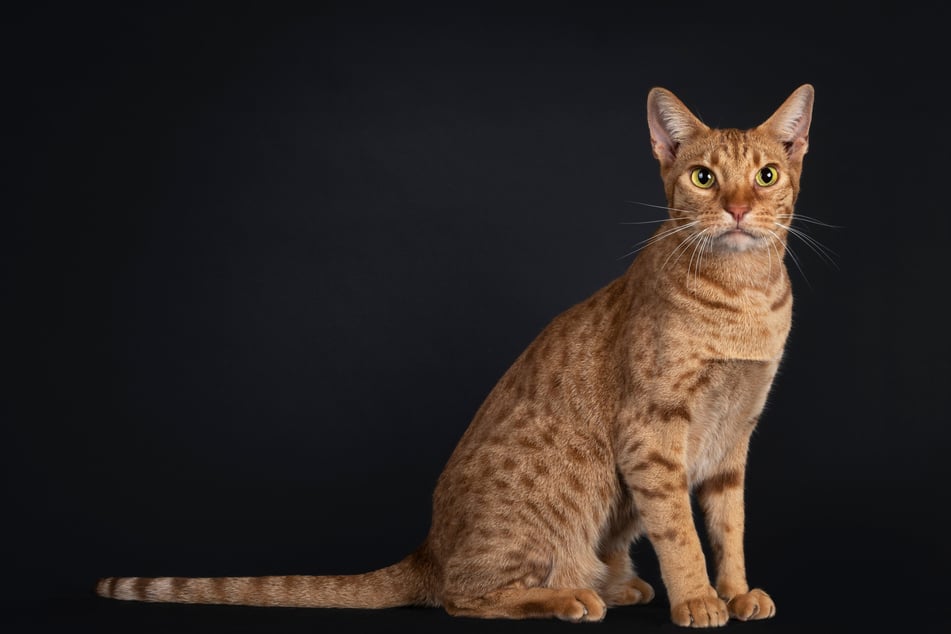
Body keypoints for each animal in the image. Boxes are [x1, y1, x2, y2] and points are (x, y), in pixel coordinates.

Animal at [98, 85, 820, 628]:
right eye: (703, 177)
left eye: (765, 176)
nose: (737, 208)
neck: (744, 301)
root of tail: (429, 547)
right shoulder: (653, 433)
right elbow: (680, 532)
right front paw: (698, 599)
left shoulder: (733, 438)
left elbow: (728, 526)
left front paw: (735, 592)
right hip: (565, 498)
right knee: (462, 597)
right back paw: (571, 595)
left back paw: (618, 585)